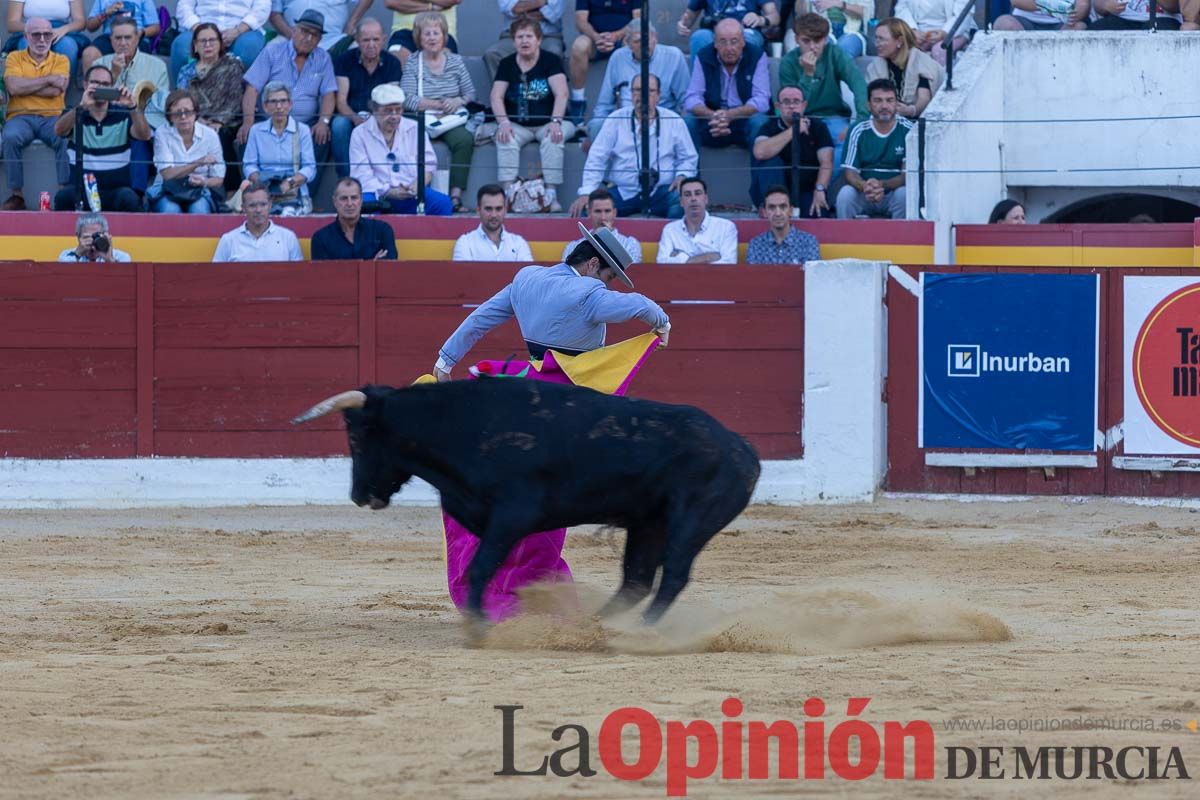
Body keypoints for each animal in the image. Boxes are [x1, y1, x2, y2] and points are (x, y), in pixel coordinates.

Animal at [291, 381, 758, 623]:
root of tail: (742, 449)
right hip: (648, 523)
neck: (458, 423)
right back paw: (596, 626)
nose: (358, 495)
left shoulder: (512, 514)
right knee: (638, 579)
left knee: (673, 575)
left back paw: (640, 632)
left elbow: (480, 569)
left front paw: (479, 625)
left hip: (690, 521)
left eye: (356, 437)